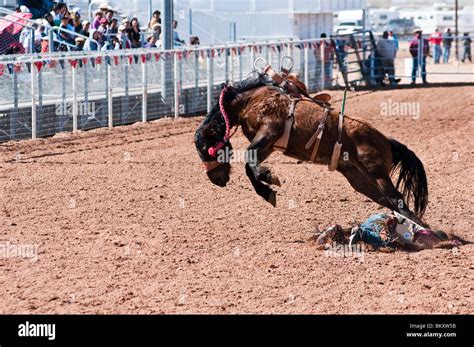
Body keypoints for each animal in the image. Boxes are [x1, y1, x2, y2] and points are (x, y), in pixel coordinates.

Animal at [194, 74, 428, 226]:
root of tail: (386, 140)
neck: (251, 100)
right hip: (359, 178)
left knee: (397, 199)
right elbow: (250, 165)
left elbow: (249, 159)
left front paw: (269, 181)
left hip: (377, 174)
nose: (215, 179)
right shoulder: (268, 145)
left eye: (206, 147)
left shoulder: (269, 131)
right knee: (388, 201)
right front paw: (267, 189)